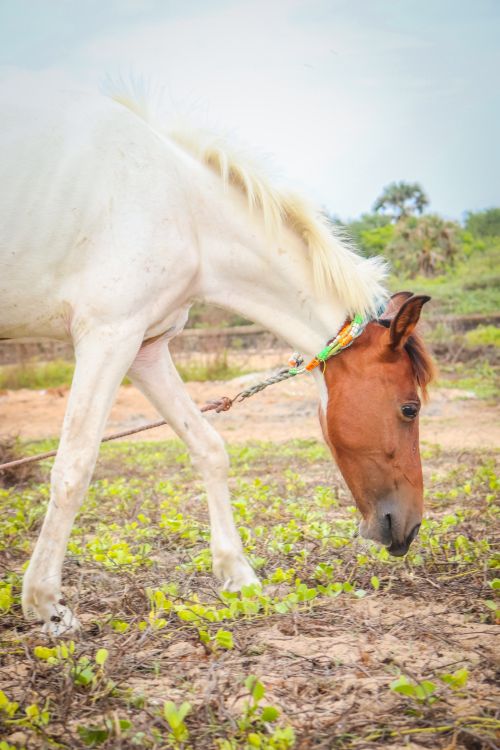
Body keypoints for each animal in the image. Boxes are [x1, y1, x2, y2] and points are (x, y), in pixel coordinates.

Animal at [0, 82, 434, 635]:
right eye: (409, 409)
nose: (411, 528)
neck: (182, 210)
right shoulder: (107, 336)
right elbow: (73, 468)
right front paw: (46, 604)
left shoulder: (145, 348)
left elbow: (210, 448)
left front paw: (238, 574)